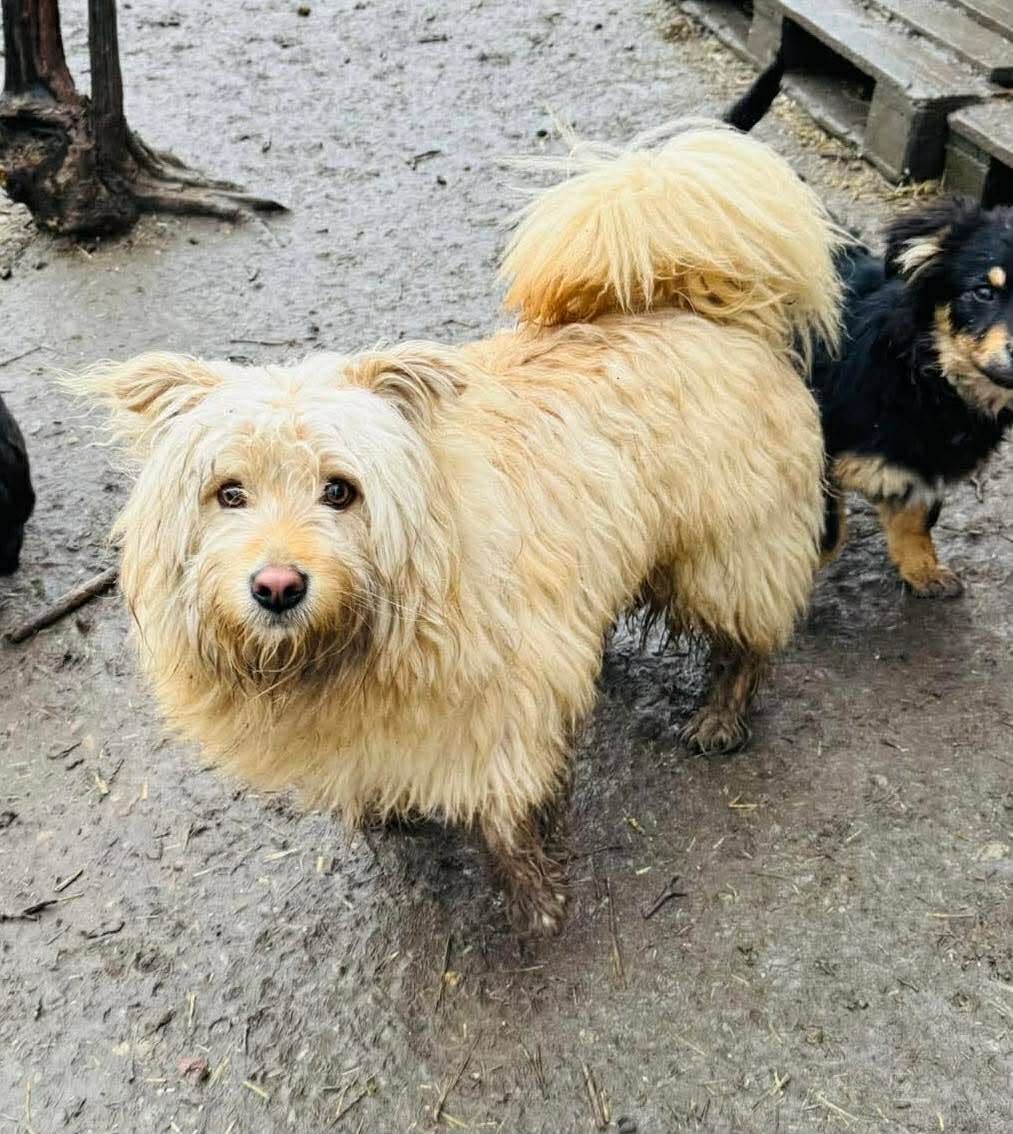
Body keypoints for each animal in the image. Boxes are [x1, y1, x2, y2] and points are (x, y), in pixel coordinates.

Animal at [70, 123, 840, 935]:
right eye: (229, 493)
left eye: (339, 491)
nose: (277, 586)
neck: (351, 645)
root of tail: (700, 305)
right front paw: (390, 814)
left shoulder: (503, 715)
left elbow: (506, 821)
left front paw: (535, 897)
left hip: (729, 554)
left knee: (747, 642)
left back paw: (721, 715)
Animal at [725, 55, 1013, 595]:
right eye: (982, 293)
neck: (925, 374)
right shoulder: (817, 448)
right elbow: (829, 527)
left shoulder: (924, 467)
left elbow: (915, 516)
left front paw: (922, 568)